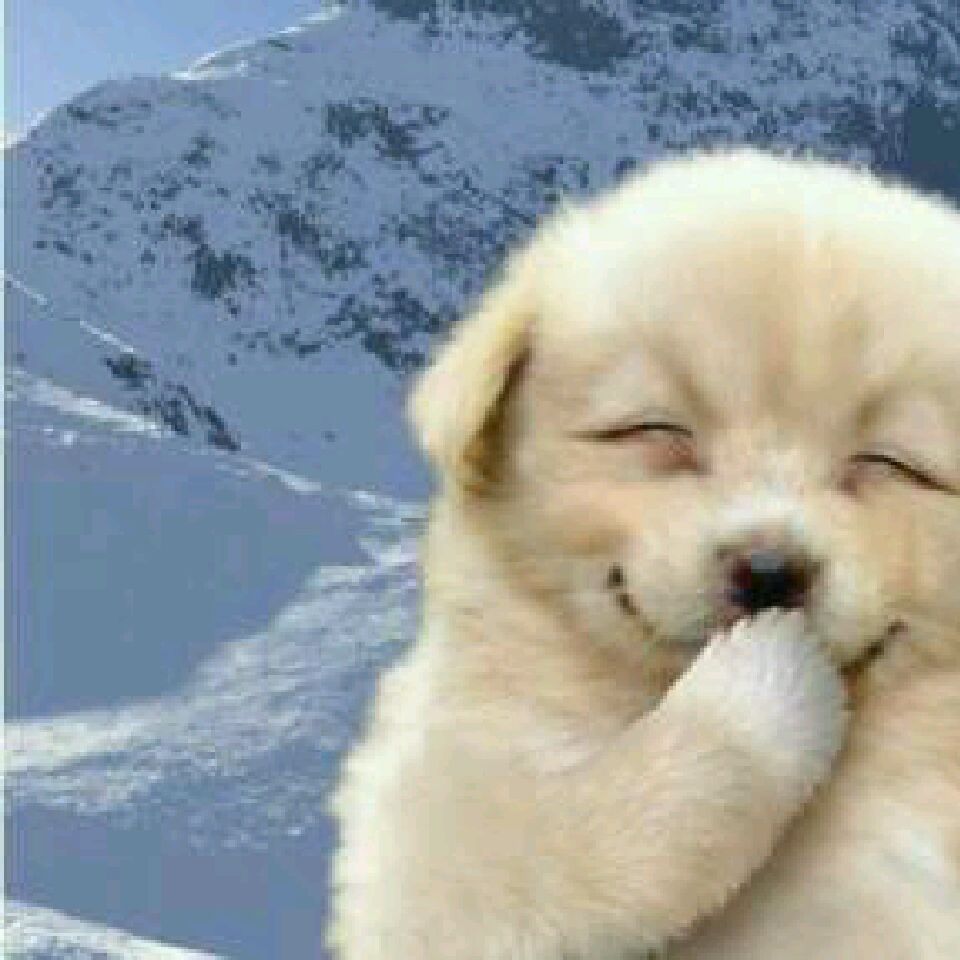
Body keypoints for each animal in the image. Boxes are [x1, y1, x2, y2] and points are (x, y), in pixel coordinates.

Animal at [329, 149, 960, 959]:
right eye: (656, 430)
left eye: (888, 463)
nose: (769, 572)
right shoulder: (440, 826)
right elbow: (591, 828)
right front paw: (763, 685)